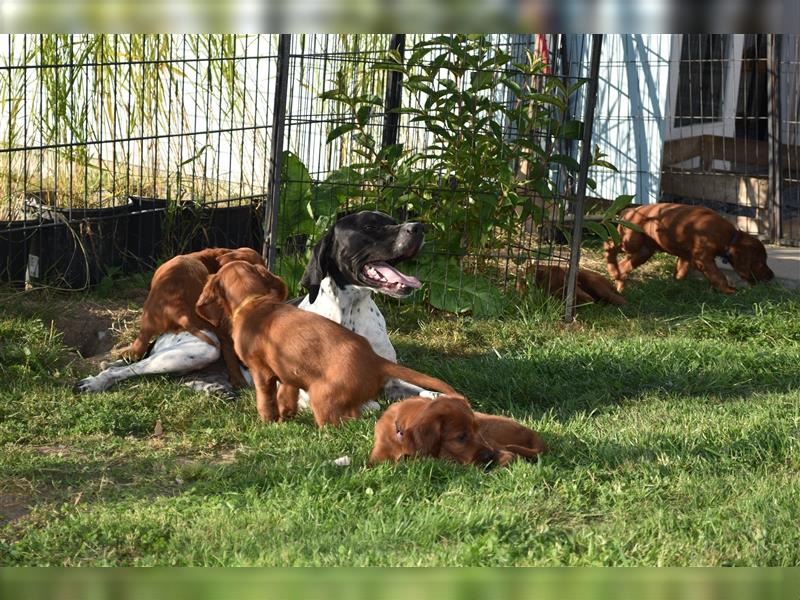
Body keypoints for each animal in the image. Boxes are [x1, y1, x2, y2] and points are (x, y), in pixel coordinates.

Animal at [74, 211, 434, 408]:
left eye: (395, 221)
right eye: (371, 227)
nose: (419, 227)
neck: (351, 314)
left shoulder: (391, 378)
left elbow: (430, 393)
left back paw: (212, 388)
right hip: (198, 349)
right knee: (126, 370)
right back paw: (95, 382)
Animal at [194, 262, 456, 426]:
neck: (255, 302)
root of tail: (375, 360)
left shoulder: (261, 371)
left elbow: (266, 400)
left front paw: (268, 421)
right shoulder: (288, 374)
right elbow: (287, 396)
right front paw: (286, 417)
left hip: (322, 395)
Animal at [608, 203, 776, 294]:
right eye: (760, 262)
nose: (772, 276)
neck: (729, 237)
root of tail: (627, 211)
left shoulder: (686, 257)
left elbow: (680, 273)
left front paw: (676, 285)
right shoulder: (703, 259)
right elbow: (718, 276)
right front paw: (728, 290)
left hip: (644, 251)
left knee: (624, 266)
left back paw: (618, 284)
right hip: (631, 242)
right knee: (610, 244)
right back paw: (611, 266)